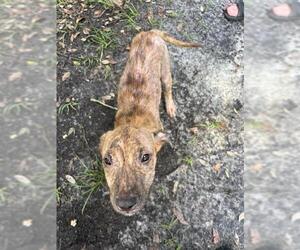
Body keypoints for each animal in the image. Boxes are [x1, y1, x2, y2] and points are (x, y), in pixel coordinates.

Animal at [99, 29, 200, 215]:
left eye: (146, 157)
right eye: (107, 160)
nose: (125, 204)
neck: (132, 120)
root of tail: (150, 31)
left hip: (165, 71)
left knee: (168, 89)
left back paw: (171, 106)